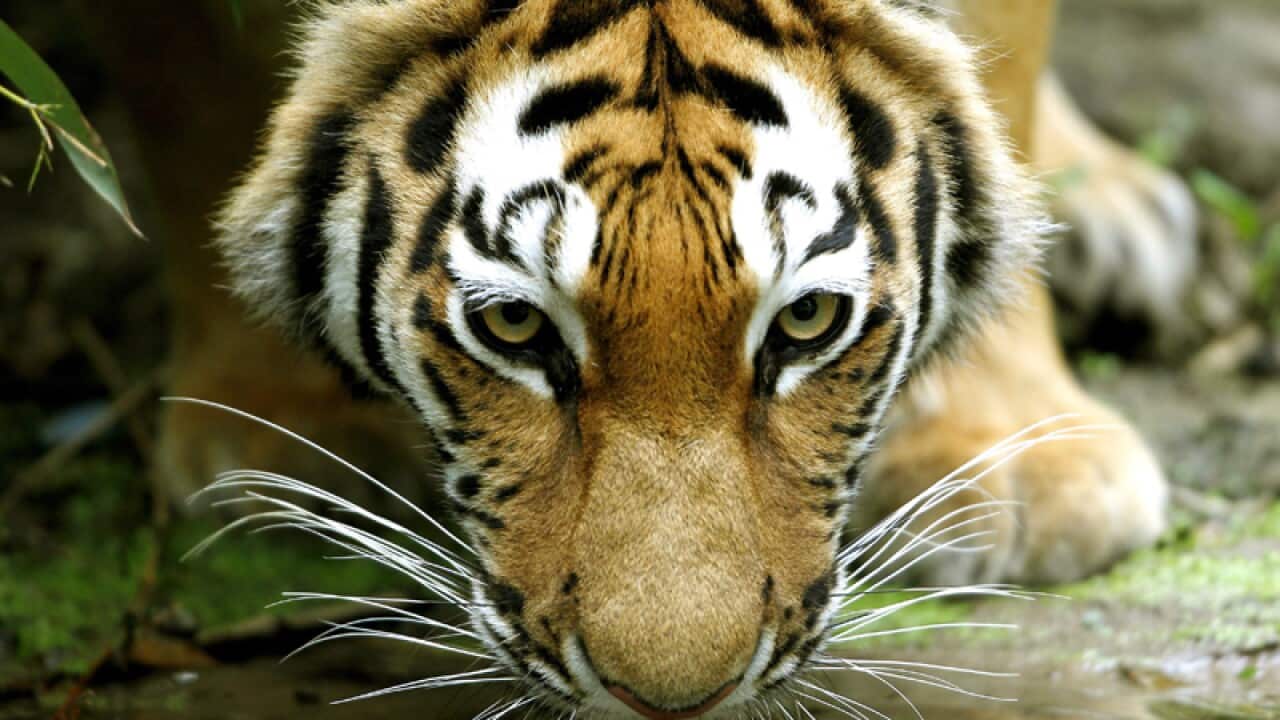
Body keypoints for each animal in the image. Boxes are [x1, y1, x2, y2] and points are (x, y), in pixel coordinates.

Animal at [160, 0, 1188, 716]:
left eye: (808, 319)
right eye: (515, 327)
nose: (673, 703)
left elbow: (1001, 86)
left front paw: (1014, 447)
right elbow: (196, 97)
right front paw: (261, 421)